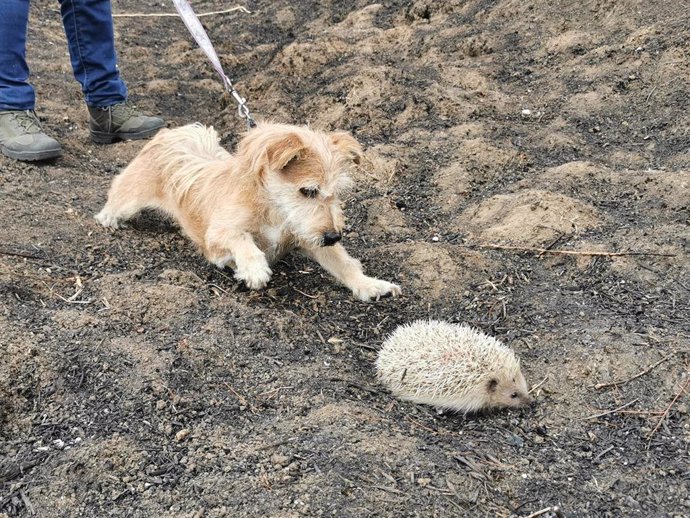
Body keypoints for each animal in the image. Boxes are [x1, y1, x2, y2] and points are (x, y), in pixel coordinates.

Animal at [94, 122, 400, 302]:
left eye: (336, 192)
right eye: (308, 191)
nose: (334, 236)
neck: (274, 210)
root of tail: (172, 133)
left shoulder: (310, 235)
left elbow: (344, 262)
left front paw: (370, 285)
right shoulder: (215, 238)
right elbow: (241, 239)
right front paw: (253, 268)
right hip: (131, 196)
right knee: (116, 193)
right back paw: (108, 218)